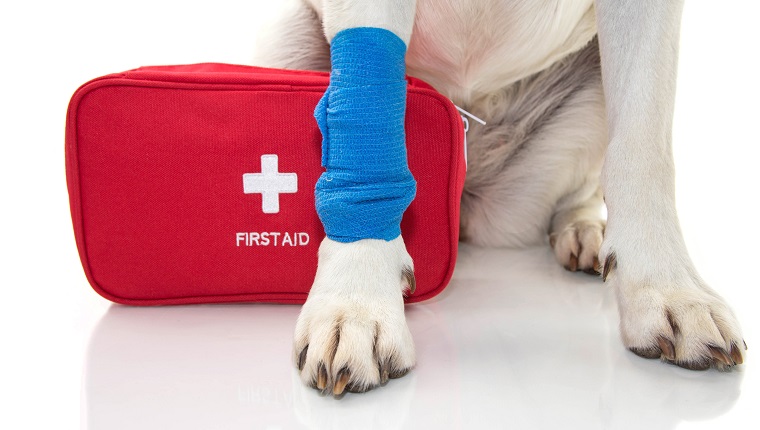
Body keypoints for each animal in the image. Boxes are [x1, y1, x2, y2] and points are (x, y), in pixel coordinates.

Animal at [254, 0, 744, 396]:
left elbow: (643, 144)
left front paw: (668, 291)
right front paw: (355, 300)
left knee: (586, 185)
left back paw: (584, 230)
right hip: (289, 41)